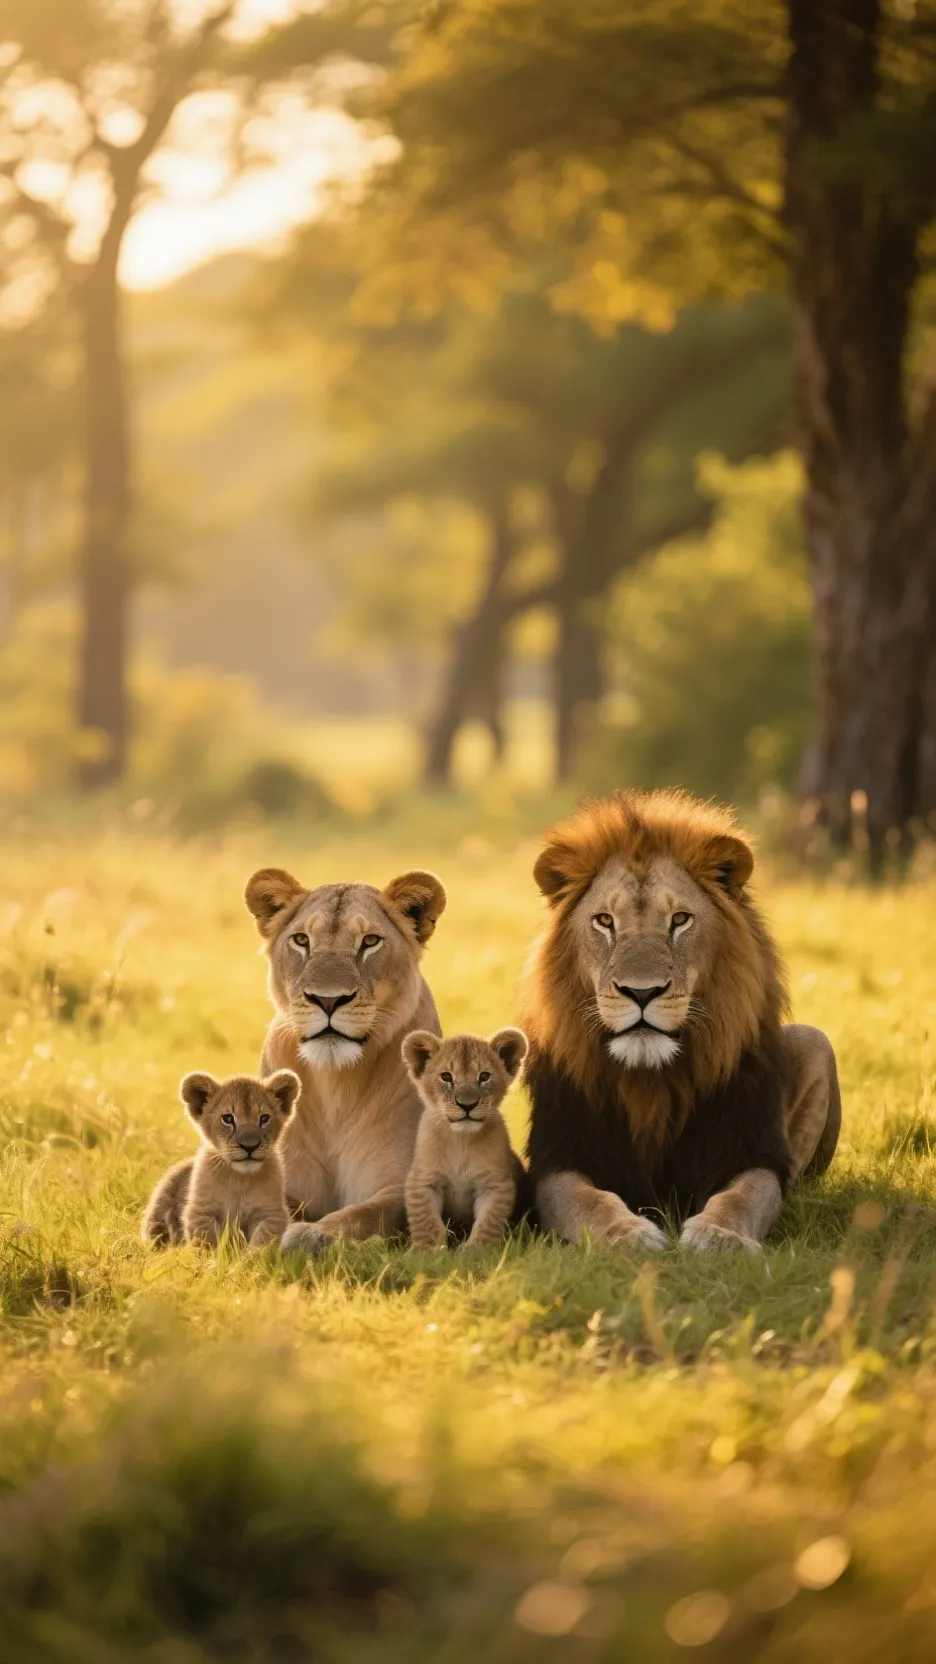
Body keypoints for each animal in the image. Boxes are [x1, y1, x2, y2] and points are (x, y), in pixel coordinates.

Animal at [142, 1069, 300, 1247]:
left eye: (264, 1118)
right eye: (228, 1119)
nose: (249, 1146)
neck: (239, 1179)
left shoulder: (272, 1213)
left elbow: (261, 1242)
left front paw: (251, 1255)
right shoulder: (201, 1212)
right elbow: (208, 1243)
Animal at [245, 866, 446, 1254]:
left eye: (370, 941)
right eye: (301, 940)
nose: (327, 1000)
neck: (334, 1084)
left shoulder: (400, 1186)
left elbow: (358, 1215)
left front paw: (309, 1235)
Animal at [402, 1028, 530, 1247]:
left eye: (484, 1076)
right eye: (446, 1076)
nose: (467, 1104)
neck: (461, 1141)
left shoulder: (495, 1184)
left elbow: (488, 1224)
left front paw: (477, 1251)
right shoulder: (423, 1180)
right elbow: (427, 1221)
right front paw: (426, 1251)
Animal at [523, 789, 841, 1253]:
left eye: (679, 920)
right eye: (605, 921)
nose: (641, 992)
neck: (649, 1080)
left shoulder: (749, 1151)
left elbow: (742, 1197)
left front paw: (720, 1236)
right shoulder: (558, 1158)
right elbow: (589, 1201)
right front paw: (628, 1235)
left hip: (814, 1041)